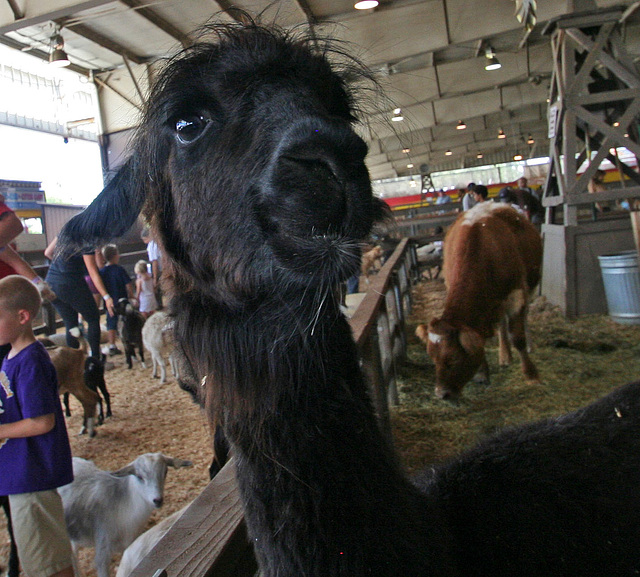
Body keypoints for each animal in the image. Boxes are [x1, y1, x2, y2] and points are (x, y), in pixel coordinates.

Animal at [416, 200, 540, 398]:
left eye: (453, 358)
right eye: (432, 357)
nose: (442, 393)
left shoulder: (516, 295)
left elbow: (518, 337)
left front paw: (531, 374)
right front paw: (482, 374)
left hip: (528, 288)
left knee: (524, 317)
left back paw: (529, 345)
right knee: (501, 324)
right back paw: (505, 355)